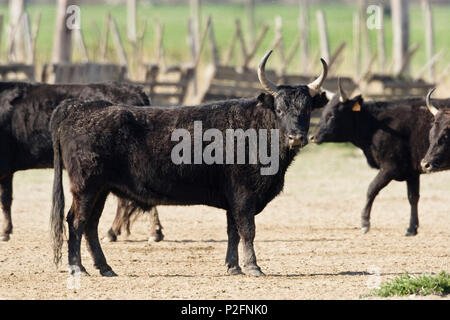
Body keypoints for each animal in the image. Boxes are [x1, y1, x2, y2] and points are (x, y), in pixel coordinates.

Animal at [0, 81, 163, 241]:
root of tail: (134, 89)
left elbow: (4, 199)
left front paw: (4, 232)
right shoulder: (7, 171)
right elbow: (6, 199)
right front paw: (6, 230)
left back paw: (137, 233)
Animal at [50, 51, 330, 276]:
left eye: (307, 110)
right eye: (279, 110)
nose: (297, 137)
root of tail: (79, 107)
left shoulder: (232, 199)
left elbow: (232, 232)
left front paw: (233, 266)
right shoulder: (243, 196)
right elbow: (247, 230)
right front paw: (253, 266)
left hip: (101, 189)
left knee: (90, 225)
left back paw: (105, 267)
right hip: (86, 187)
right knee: (76, 222)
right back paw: (78, 268)